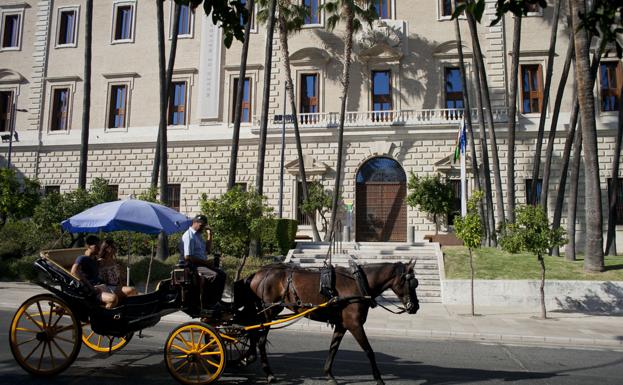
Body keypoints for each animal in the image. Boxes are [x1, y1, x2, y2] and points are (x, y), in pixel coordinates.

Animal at [244, 260, 420, 384]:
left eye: (416, 283)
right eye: (410, 283)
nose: (415, 307)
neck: (358, 283)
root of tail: (258, 273)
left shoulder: (342, 325)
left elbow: (333, 348)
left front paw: (329, 374)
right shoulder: (355, 325)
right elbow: (369, 351)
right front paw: (379, 378)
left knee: (253, 333)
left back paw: (249, 357)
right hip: (268, 312)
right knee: (260, 340)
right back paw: (268, 373)